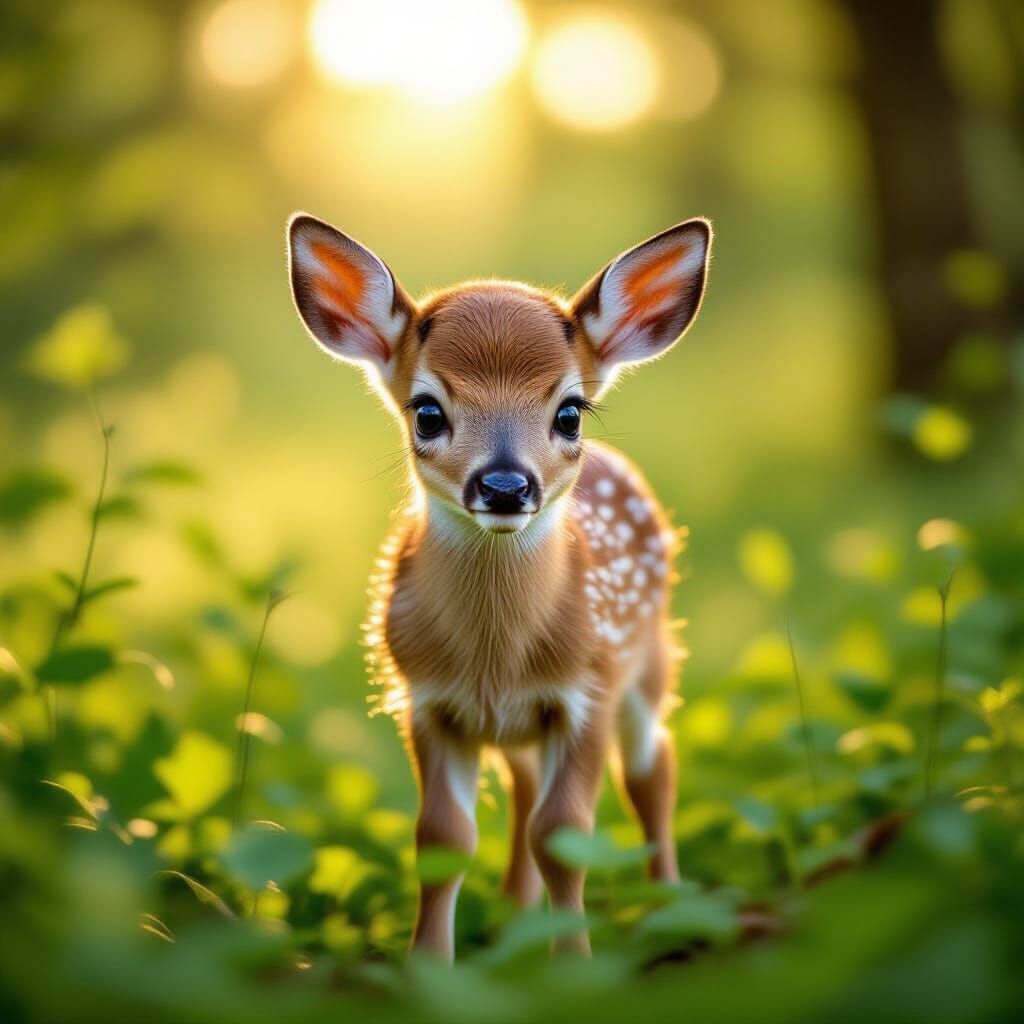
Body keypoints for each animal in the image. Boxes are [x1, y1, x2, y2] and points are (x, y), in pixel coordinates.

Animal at [286, 213, 711, 960]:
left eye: (570, 412)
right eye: (427, 412)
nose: (507, 486)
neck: (496, 658)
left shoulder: (587, 690)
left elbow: (565, 837)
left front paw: (574, 966)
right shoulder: (425, 700)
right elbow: (443, 839)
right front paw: (430, 967)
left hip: (649, 660)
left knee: (652, 768)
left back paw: (671, 913)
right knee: (524, 786)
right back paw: (515, 926)